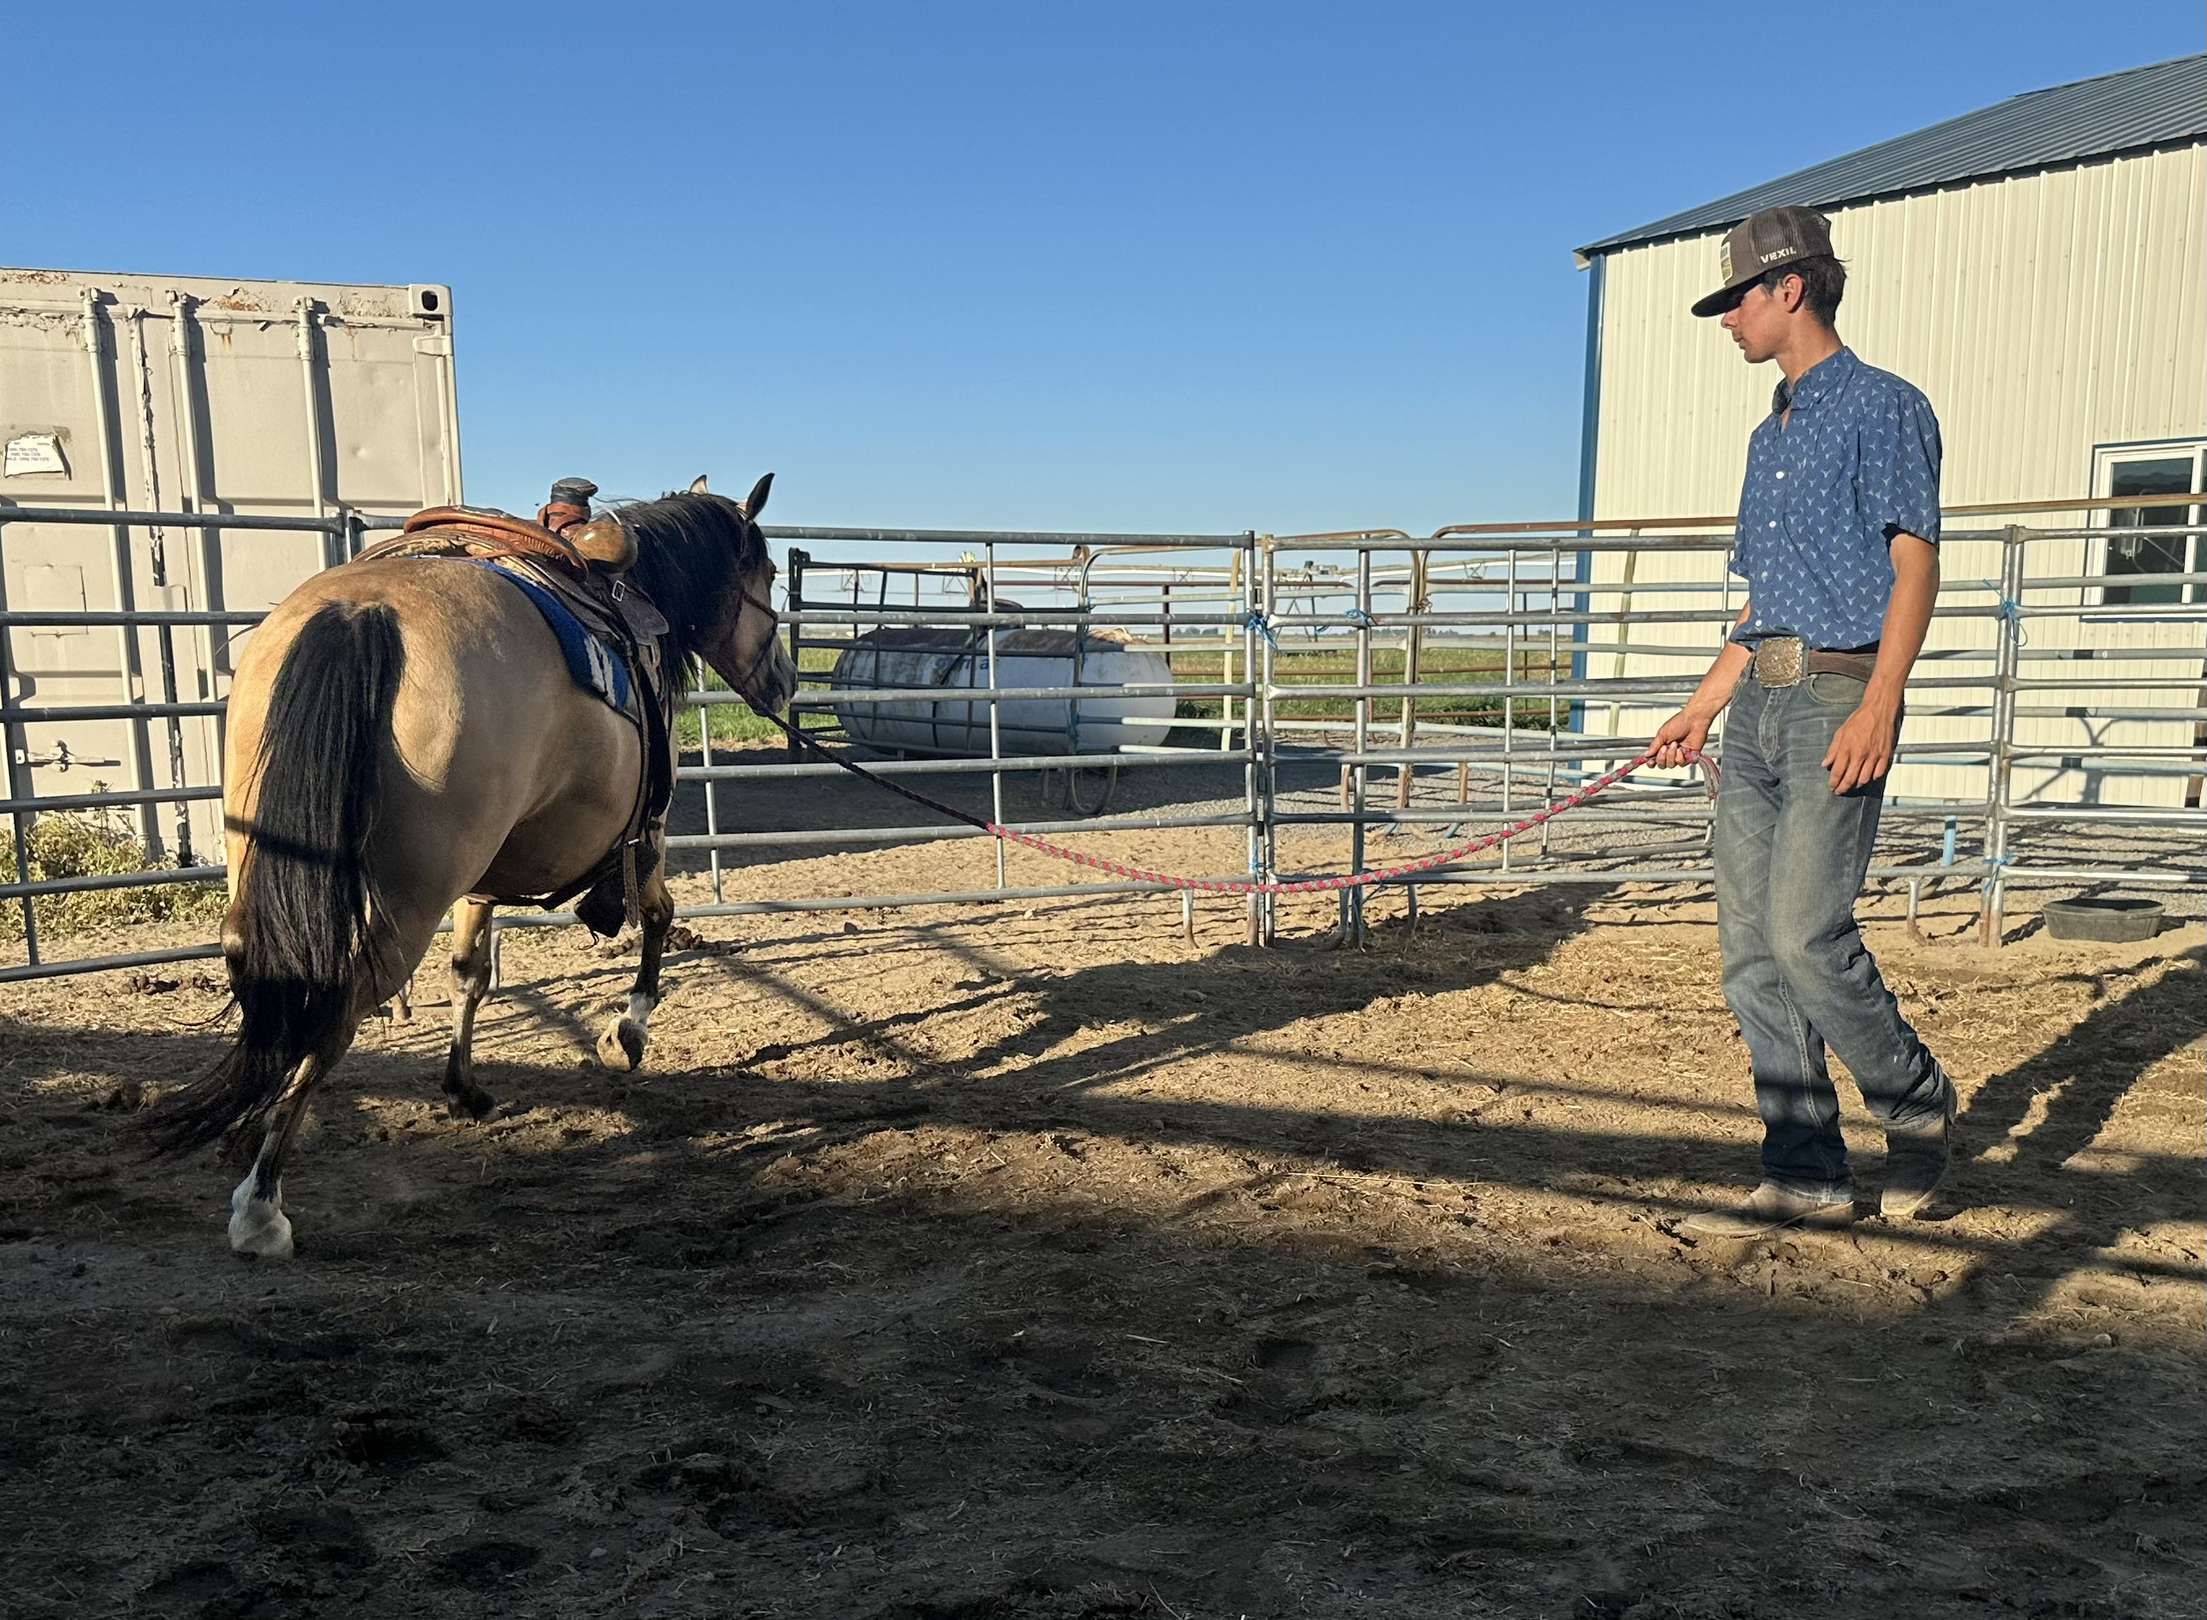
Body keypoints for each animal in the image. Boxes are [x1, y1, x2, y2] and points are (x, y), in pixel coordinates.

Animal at [140, 474, 796, 1259]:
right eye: (765, 573)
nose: (786, 682)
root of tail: (361, 610)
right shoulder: (650, 833)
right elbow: (659, 919)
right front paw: (625, 1034)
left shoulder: (477, 881)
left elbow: (470, 974)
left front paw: (462, 1087)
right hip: (406, 901)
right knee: (335, 1008)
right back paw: (262, 1205)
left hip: (271, 860)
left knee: (268, 973)